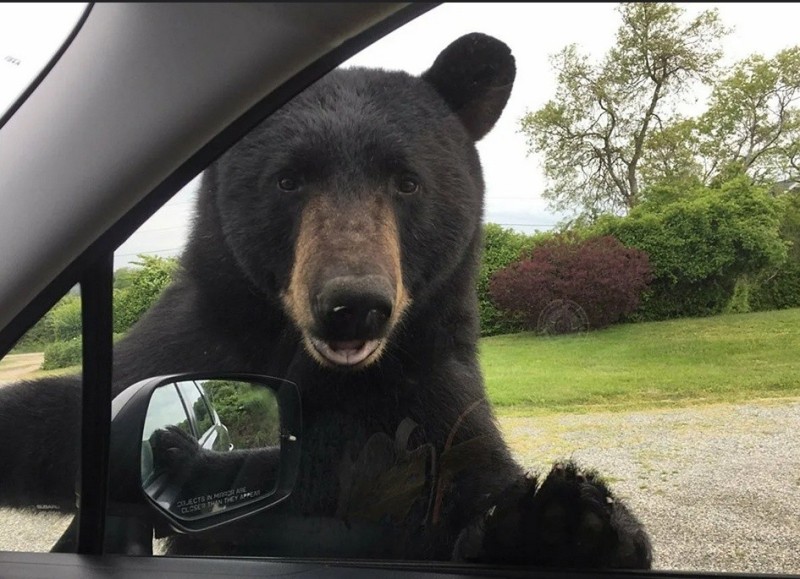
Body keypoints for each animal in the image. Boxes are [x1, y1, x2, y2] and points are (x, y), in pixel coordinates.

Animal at [0, 34, 652, 568]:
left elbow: (468, 479)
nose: (353, 304)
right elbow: (69, 419)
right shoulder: (189, 341)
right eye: (288, 179)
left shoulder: (429, 385)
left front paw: (564, 523)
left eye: (407, 181)